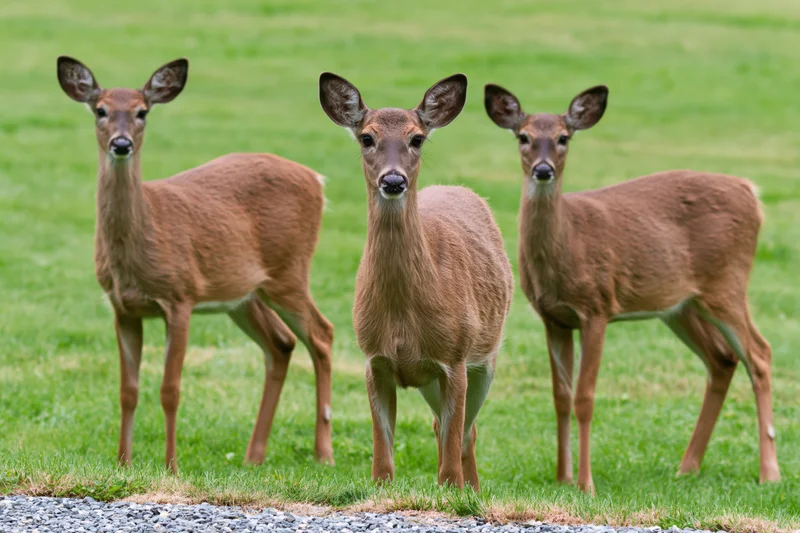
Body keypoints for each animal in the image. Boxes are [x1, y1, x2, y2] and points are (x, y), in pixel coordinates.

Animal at [56, 56, 335, 473]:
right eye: (100, 110)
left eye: (142, 112)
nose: (121, 144)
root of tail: (317, 180)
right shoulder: (123, 308)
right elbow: (127, 390)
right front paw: (123, 463)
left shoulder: (180, 296)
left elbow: (170, 389)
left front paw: (171, 465)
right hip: (244, 295)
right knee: (282, 343)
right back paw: (254, 456)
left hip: (289, 270)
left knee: (322, 333)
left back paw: (323, 452)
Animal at [319, 73, 513, 490]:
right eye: (367, 137)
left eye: (417, 138)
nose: (393, 179)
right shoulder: (374, 359)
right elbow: (382, 459)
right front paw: (382, 487)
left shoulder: (455, 357)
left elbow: (452, 452)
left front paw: (454, 490)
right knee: (442, 425)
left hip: (485, 358)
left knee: (465, 431)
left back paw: (473, 489)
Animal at [484, 83, 780, 494]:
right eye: (523, 137)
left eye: (564, 137)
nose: (543, 170)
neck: (569, 244)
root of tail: (751, 191)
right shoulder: (552, 317)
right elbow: (560, 396)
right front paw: (562, 477)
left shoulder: (597, 307)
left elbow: (585, 397)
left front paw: (586, 484)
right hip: (681, 305)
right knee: (723, 359)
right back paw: (687, 467)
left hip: (727, 282)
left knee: (760, 353)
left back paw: (769, 472)